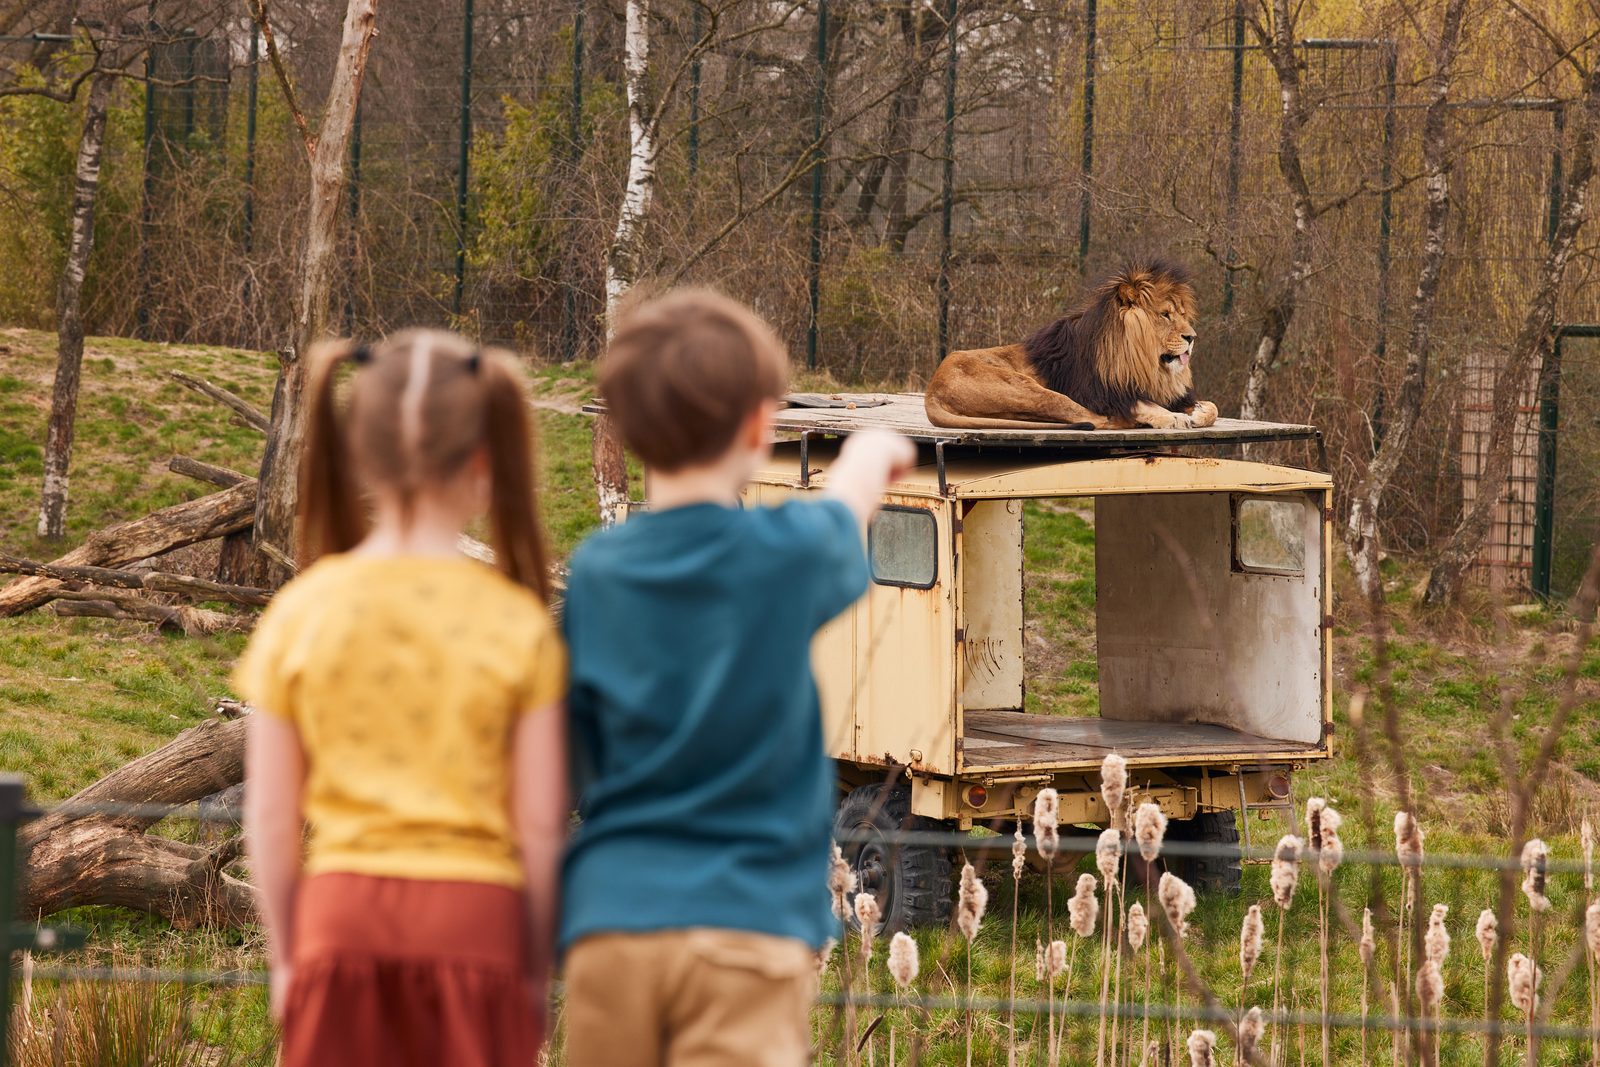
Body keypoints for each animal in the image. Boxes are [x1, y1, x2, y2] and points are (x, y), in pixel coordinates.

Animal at [921, 259, 1216, 428]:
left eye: (1182, 315)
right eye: (1165, 315)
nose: (1192, 337)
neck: (1143, 362)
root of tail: (932, 389)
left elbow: (1213, 407)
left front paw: (1198, 412)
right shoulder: (1097, 392)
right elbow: (1137, 405)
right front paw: (1172, 417)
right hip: (1028, 388)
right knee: (1094, 420)